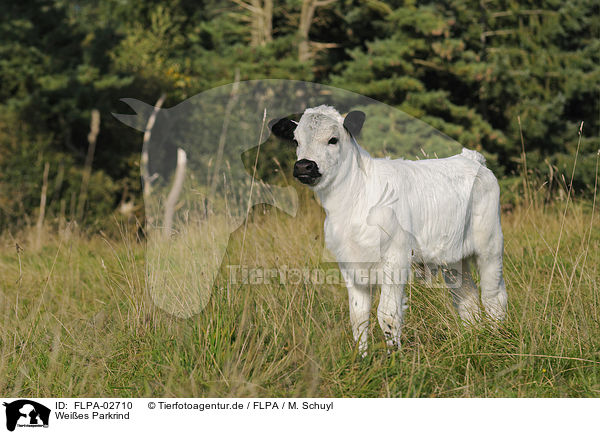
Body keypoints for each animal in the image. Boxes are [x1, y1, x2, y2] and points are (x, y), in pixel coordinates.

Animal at [270, 107, 506, 354]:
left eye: (332, 139)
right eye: (296, 141)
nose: (304, 166)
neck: (352, 202)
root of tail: (470, 158)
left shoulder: (396, 258)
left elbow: (388, 314)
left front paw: (395, 357)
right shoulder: (349, 263)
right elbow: (358, 317)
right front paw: (362, 358)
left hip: (490, 246)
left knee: (493, 295)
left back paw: (496, 338)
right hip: (454, 258)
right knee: (466, 298)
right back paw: (473, 339)